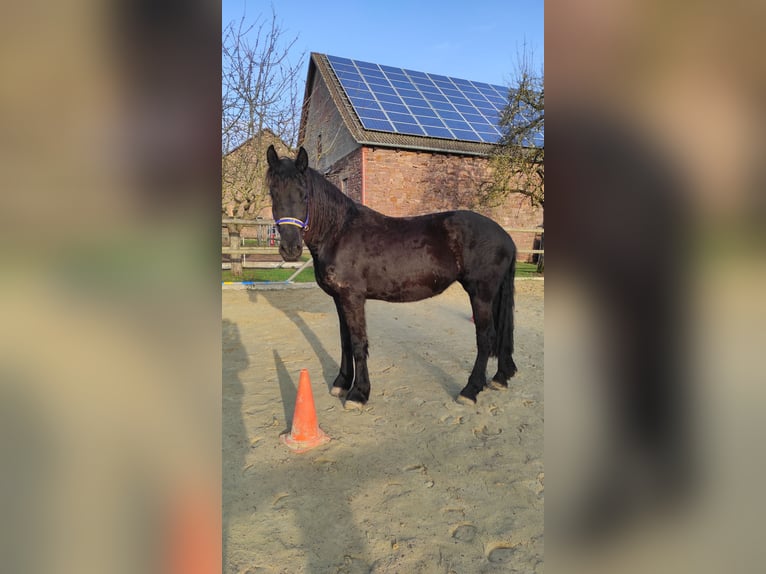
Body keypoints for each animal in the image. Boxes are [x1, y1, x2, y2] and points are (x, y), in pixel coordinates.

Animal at [266, 145, 517, 409]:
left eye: (304, 195)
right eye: (273, 194)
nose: (290, 248)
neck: (338, 232)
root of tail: (505, 236)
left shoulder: (353, 298)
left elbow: (358, 342)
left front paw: (358, 393)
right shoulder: (339, 298)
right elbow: (345, 341)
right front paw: (341, 383)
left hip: (481, 294)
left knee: (485, 337)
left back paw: (470, 390)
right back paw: (500, 377)